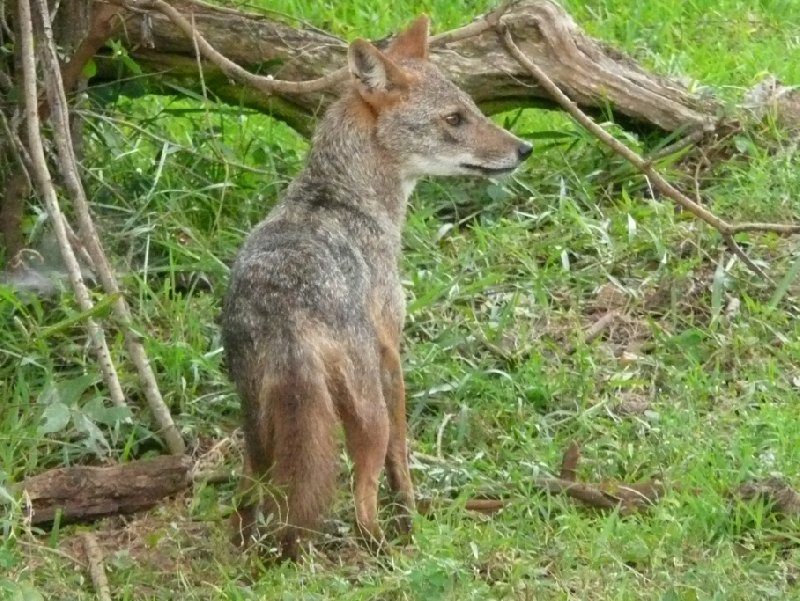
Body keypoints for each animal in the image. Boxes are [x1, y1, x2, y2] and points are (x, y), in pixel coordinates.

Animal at [220, 14, 532, 556]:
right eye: (454, 119)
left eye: (473, 110)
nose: (525, 148)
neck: (344, 198)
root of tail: (284, 319)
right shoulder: (391, 349)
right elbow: (401, 457)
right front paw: (411, 516)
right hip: (365, 419)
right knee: (362, 500)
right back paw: (387, 550)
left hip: (256, 430)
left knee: (248, 501)